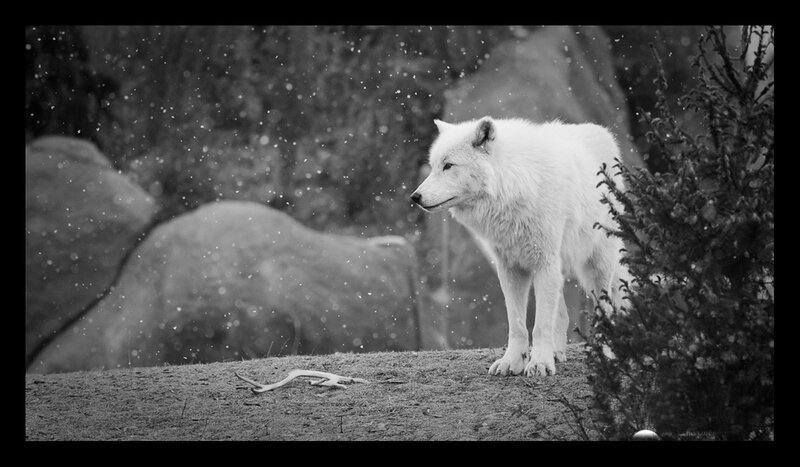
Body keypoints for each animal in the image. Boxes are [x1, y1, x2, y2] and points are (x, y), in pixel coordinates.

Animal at [411, 117, 629, 376]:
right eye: (433, 166)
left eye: (448, 166)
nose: (415, 197)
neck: (514, 186)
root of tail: (602, 132)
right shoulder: (510, 269)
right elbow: (517, 324)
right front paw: (513, 362)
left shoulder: (544, 263)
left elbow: (540, 325)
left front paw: (539, 363)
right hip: (559, 269)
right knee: (562, 315)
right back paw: (557, 352)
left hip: (597, 265)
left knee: (605, 310)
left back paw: (604, 355)